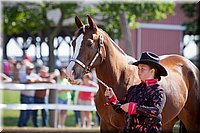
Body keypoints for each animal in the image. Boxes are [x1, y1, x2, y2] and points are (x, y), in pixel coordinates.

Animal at [67, 16, 200, 132]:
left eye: (89, 43)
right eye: (73, 43)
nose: (70, 73)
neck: (119, 78)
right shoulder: (106, 125)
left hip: (192, 121)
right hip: (168, 122)